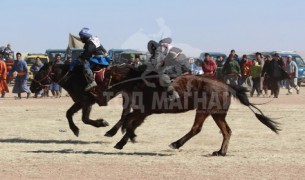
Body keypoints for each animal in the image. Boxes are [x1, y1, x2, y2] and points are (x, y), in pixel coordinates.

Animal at [103, 64, 280, 156]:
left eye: (106, 77)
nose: (102, 94)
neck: (140, 81)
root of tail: (227, 85)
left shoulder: (143, 111)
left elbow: (128, 120)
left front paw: (126, 136)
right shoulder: (143, 113)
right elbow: (130, 122)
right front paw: (121, 141)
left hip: (204, 111)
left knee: (196, 128)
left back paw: (176, 143)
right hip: (216, 114)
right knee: (226, 131)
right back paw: (220, 152)